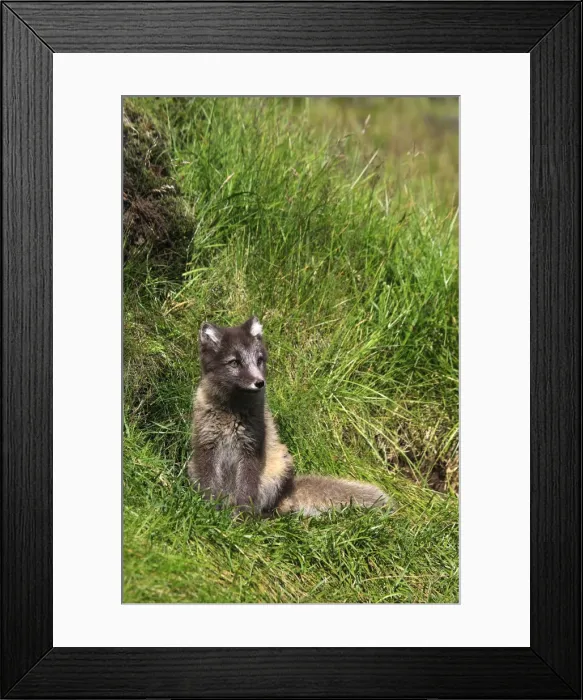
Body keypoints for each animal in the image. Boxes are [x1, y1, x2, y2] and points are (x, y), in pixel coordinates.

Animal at [187, 317, 389, 516]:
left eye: (259, 360)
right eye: (234, 363)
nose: (260, 382)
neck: (232, 410)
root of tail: (288, 492)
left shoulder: (251, 448)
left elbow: (246, 489)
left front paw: (241, 518)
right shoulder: (207, 445)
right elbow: (209, 485)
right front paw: (209, 512)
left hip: (281, 463)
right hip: (192, 466)